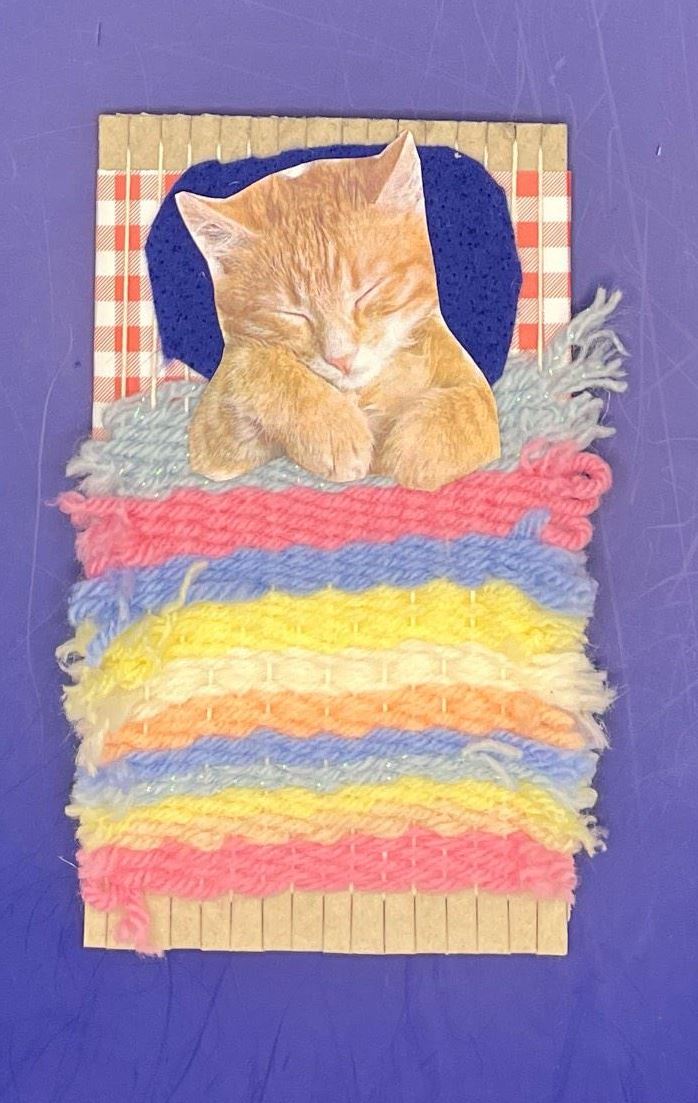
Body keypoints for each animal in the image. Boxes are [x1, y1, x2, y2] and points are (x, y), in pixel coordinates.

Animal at [175, 130, 500, 491]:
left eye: (366, 293)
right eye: (293, 314)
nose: (341, 359)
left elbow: (477, 403)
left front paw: (422, 445)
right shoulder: (215, 442)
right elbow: (251, 360)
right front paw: (332, 426)